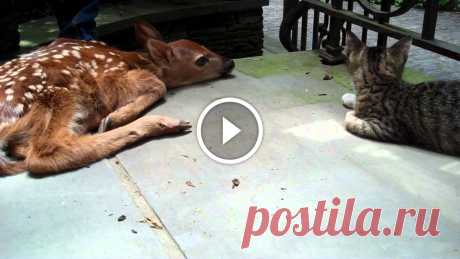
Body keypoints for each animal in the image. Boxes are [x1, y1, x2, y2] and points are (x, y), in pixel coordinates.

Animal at [0, 21, 235, 177]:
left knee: (27, 149)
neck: (140, 61)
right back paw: (159, 123)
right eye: (201, 60)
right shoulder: (112, 78)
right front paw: (118, 115)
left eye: (206, 47)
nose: (230, 62)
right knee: (43, 153)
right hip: (62, 93)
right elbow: (159, 85)